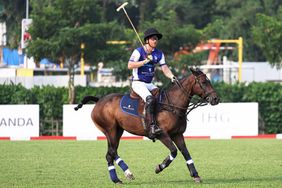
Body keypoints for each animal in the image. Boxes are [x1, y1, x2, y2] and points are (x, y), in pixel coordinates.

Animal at [74, 67, 219, 184]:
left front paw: (195, 175)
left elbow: (185, 152)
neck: (172, 104)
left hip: (118, 130)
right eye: (204, 82)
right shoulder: (162, 134)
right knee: (110, 153)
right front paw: (159, 167)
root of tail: (99, 101)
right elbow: (174, 151)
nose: (216, 99)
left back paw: (126, 174)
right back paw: (118, 179)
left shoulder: (178, 134)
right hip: (110, 130)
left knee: (112, 151)